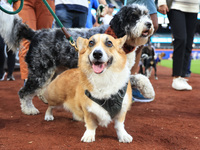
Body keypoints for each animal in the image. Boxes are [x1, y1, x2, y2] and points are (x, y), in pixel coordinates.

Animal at [0, 2, 155, 115]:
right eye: (134, 16)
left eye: (146, 15)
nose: (149, 24)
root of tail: (36, 34)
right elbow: (139, 77)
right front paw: (149, 91)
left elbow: (140, 77)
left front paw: (147, 90)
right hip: (40, 71)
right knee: (24, 91)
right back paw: (28, 109)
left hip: (52, 71)